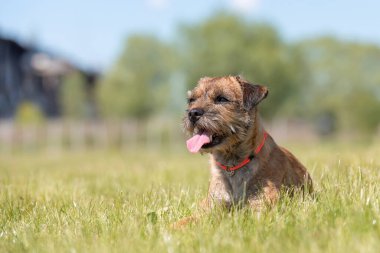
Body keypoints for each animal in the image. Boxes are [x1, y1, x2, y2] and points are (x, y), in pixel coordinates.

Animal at [175, 75, 312, 225]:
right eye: (191, 100)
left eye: (221, 99)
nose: (193, 113)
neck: (232, 164)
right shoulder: (211, 208)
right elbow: (184, 221)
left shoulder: (260, 209)